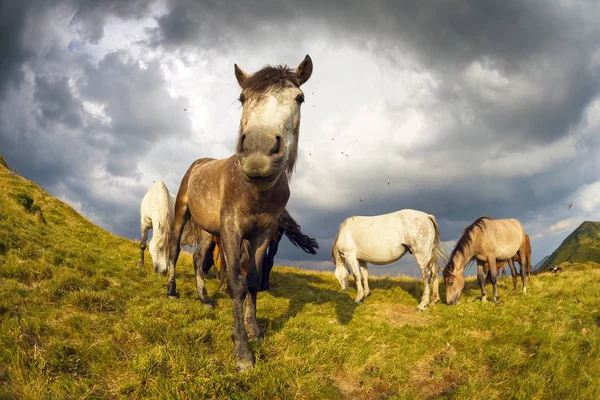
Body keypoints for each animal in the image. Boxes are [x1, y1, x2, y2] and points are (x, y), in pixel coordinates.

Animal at [166, 54, 312, 370]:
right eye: (242, 98)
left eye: (299, 98)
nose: (258, 151)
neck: (255, 192)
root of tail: (199, 163)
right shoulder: (232, 230)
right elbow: (236, 282)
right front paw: (243, 352)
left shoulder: (263, 234)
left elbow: (254, 280)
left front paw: (255, 329)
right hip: (183, 213)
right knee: (173, 250)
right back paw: (171, 290)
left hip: (207, 230)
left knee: (199, 260)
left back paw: (205, 300)